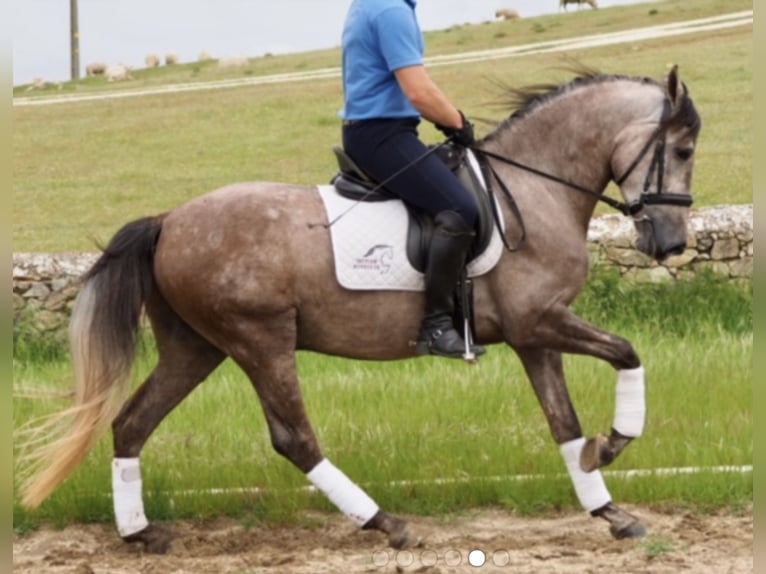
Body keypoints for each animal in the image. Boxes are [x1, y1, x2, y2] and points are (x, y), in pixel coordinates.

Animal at [19, 64, 701, 553]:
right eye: (685, 150)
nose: (670, 245)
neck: (534, 190)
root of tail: (168, 222)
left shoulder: (534, 335)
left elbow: (563, 423)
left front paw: (609, 508)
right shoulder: (542, 322)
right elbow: (627, 354)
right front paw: (612, 445)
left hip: (197, 347)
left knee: (131, 423)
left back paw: (139, 532)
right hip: (259, 340)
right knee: (294, 438)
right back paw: (385, 522)